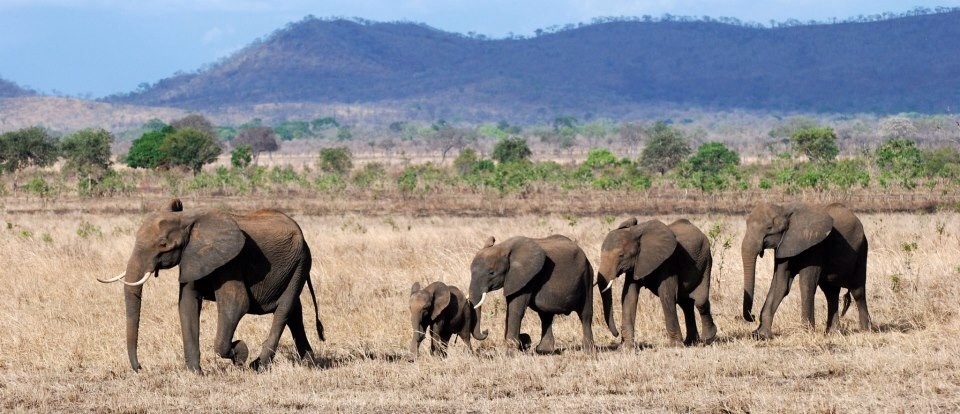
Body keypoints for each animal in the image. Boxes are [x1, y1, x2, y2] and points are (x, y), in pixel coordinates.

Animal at [96, 198, 322, 372]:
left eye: (163, 245)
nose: (140, 368)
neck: (187, 219)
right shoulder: (193, 258)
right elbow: (187, 304)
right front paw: (195, 372)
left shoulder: (231, 260)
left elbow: (236, 304)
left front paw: (239, 353)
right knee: (294, 311)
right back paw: (310, 363)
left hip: (301, 262)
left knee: (284, 309)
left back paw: (258, 366)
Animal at [468, 234, 620, 354]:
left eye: (491, 273)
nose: (486, 331)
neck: (503, 247)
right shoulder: (514, 279)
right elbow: (510, 308)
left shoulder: (527, 276)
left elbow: (516, 309)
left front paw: (511, 352)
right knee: (546, 316)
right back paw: (544, 351)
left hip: (587, 276)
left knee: (585, 314)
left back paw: (588, 351)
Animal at [596, 218, 716, 348]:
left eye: (621, 255)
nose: (617, 334)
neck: (635, 232)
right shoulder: (636, 264)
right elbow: (629, 296)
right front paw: (626, 348)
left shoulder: (668, 262)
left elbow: (666, 295)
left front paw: (675, 346)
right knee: (686, 304)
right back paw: (691, 342)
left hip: (705, 260)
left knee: (700, 302)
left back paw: (707, 339)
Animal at [740, 201, 872, 340]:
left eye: (769, 228)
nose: (753, 316)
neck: (785, 209)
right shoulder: (783, 245)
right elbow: (781, 284)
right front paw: (761, 335)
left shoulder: (814, 245)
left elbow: (806, 284)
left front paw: (806, 332)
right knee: (831, 292)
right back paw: (833, 333)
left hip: (862, 248)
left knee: (857, 290)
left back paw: (865, 330)